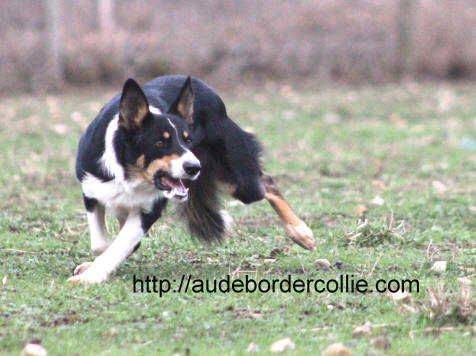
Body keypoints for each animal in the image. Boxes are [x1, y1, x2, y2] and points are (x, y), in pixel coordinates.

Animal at [69, 75, 314, 284]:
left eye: (188, 140)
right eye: (160, 142)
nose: (195, 168)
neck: (128, 172)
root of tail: (203, 85)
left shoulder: (150, 208)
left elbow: (120, 243)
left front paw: (93, 275)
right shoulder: (91, 190)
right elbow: (101, 244)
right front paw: (96, 266)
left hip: (240, 182)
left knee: (267, 183)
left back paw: (300, 232)